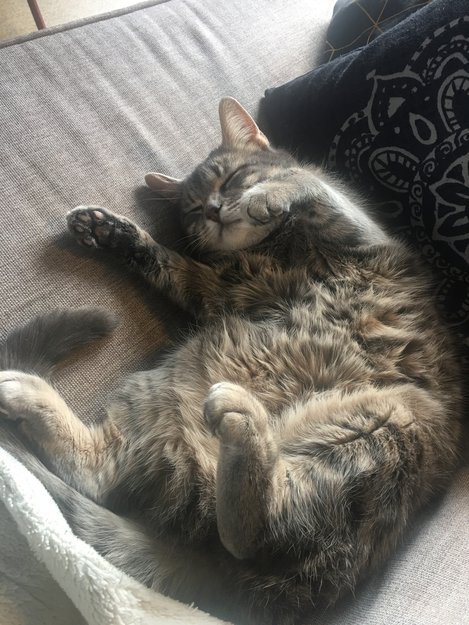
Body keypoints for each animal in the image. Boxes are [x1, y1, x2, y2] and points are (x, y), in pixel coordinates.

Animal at [0, 97, 463, 625]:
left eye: (232, 179)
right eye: (194, 209)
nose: (217, 211)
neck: (270, 249)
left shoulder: (351, 228)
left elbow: (304, 186)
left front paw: (266, 196)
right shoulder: (209, 288)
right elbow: (164, 260)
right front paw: (107, 229)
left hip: (384, 421)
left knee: (257, 528)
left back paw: (241, 423)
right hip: (174, 383)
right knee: (116, 479)